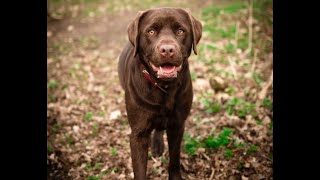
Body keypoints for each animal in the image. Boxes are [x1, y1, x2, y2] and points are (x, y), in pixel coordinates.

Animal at [117, 7, 202, 179]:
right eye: (151, 31)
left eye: (180, 31)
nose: (167, 50)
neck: (164, 86)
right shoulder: (138, 134)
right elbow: (140, 170)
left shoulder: (177, 125)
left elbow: (174, 159)